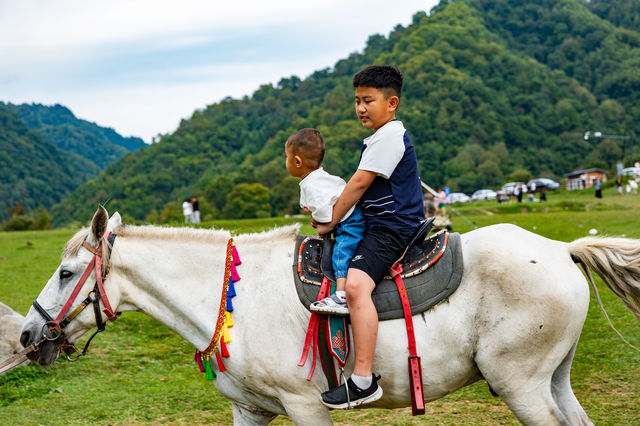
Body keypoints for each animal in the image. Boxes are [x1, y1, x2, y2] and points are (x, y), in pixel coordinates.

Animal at [17, 208, 640, 424]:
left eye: (67, 273)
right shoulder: (252, 412)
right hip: (551, 379)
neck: (230, 298)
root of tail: (560, 249)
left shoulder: (305, 407)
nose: (26, 334)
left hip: (520, 385)